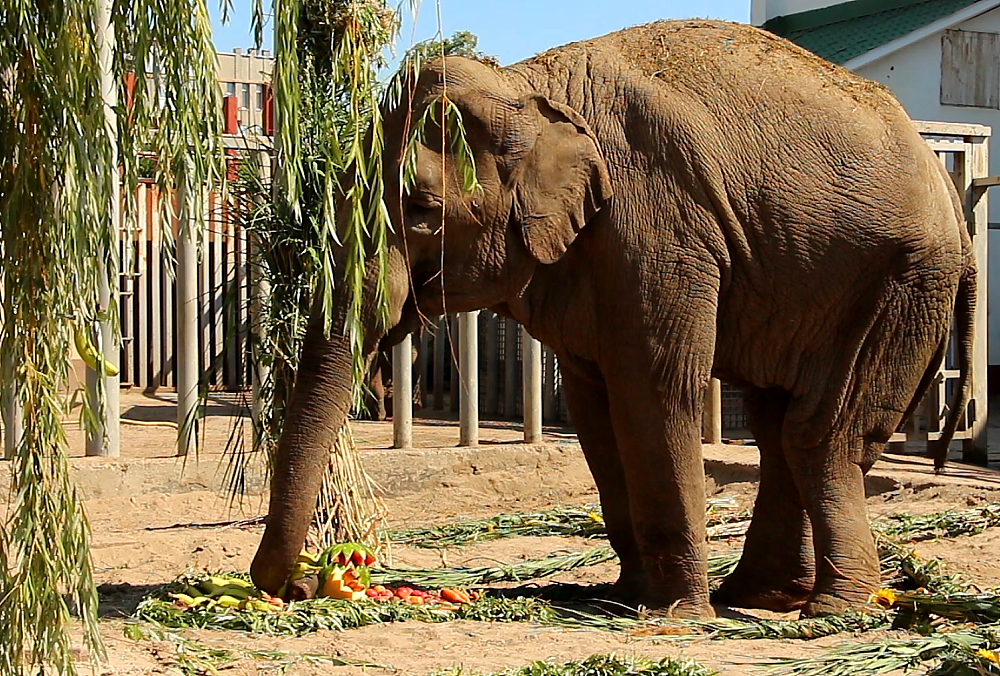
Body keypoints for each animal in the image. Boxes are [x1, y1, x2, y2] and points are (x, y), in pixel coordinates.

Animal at [252, 18, 976, 620]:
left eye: (424, 211)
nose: (303, 583)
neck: (530, 86)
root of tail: (944, 180)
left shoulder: (658, 226)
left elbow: (654, 387)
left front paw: (677, 616)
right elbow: (594, 407)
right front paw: (626, 599)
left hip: (905, 282)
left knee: (817, 434)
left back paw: (831, 612)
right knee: (778, 429)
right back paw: (761, 597)